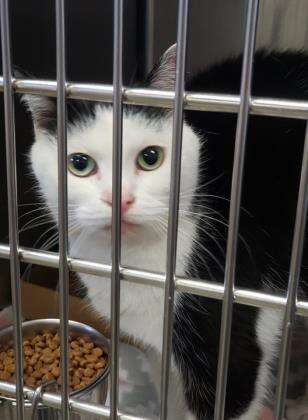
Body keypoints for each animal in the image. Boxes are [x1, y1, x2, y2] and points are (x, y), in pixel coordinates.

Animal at [22, 46, 308, 420]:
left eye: (151, 157)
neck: (132, 263)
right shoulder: (162, 353)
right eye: (79, 164)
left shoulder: (229, 354)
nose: (120, 199)